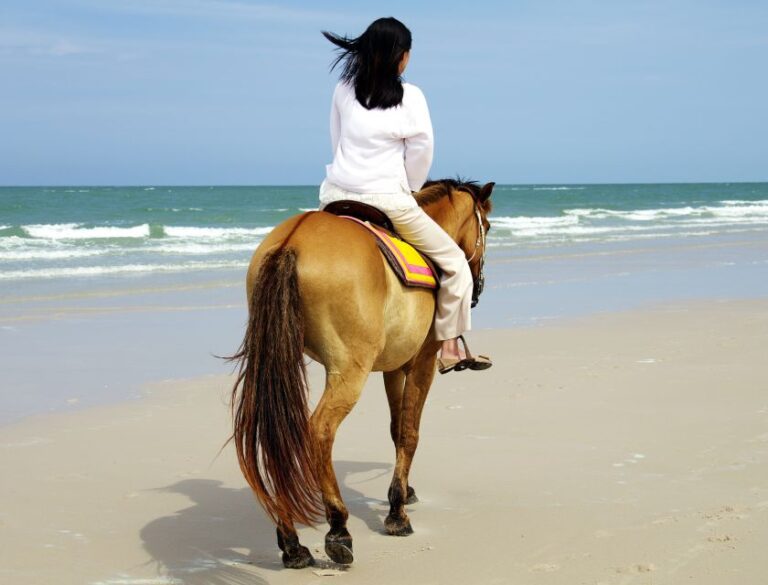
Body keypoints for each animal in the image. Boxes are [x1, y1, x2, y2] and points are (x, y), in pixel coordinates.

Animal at [230, 178, 492, 564]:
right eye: (486, 226)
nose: (478, 287)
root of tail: (292, 241)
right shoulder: (422, 362)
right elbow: (410, 432)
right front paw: (397, 513)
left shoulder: (393, 367)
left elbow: (397, 429)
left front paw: (405, 492)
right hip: (347, 371)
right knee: (318, 431)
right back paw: (337, 527)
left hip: (278, 360)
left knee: (276, 432)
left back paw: (292, 542)